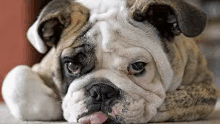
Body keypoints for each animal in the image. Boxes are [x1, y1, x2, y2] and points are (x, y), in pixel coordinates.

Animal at [2, 0, 218, 123]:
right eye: (72, 66)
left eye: (137, 66)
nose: (101, 90)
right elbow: (17, 79)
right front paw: (54, 106)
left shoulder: (206, 85)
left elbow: (185, 99)